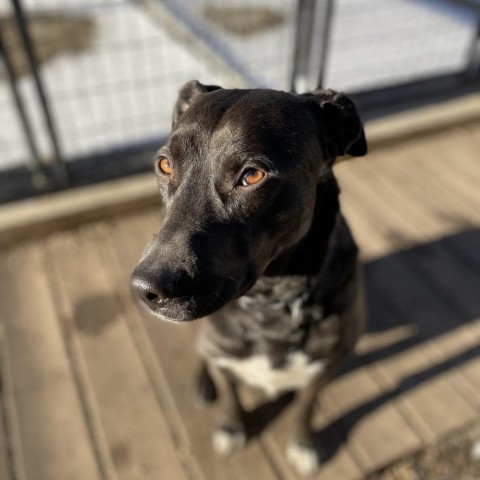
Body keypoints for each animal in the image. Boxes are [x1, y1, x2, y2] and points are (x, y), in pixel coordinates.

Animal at [131, 80, 368, 474]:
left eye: (252, 175)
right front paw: (231, 426)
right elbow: (230, 392)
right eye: (165, 164)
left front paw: (303, 443)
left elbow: (305, 405)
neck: (271, 303)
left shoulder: (328, 364)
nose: (145, 288)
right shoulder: (225, 356)